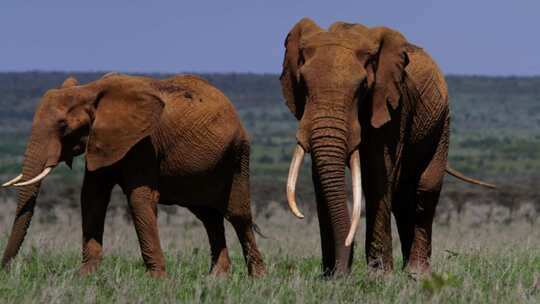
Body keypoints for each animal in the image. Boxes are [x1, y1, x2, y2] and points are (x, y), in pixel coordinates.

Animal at [1, 73, 266, 278]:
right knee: (209, 217)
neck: (91, 90)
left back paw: (256, 279)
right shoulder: (101, 142)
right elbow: (92, 196)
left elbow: (139, 198)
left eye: (64, 126)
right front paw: (84, 276)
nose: (6, 270)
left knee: (238, 215)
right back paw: (215, 278)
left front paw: (157, 280)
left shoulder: (144, 143)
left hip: (238, 155)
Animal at [280, 17, 496, 276]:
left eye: (362, 86)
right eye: (303, 83)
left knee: (424, 189)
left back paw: (416, 272)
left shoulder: (392, 106)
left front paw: (379, 277)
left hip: (442, 123)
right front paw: (330, 277)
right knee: (403, 195)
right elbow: (320, 179)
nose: (343, 274)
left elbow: (377, 175)